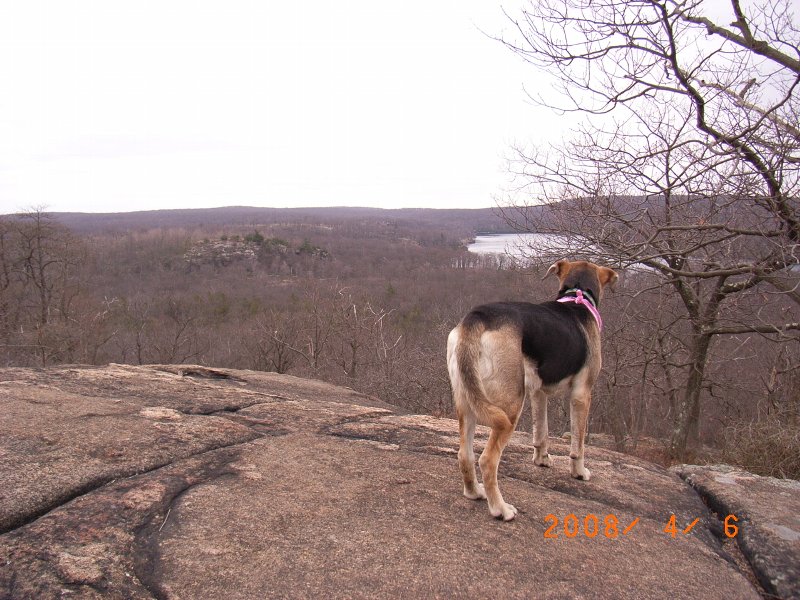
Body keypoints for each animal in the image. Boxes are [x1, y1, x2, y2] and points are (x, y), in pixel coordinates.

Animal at [446, 258, 616, 520]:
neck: (577, 296)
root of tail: (476, 319)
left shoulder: (538, 392)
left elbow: (541, 432)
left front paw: (541, 459)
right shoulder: (582, 395)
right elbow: (578, 444)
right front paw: (579, 472)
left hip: (467, 400)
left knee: (465, 454)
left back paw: (474, 492)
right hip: (511, 405)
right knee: (487, 460)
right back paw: (500, 509)